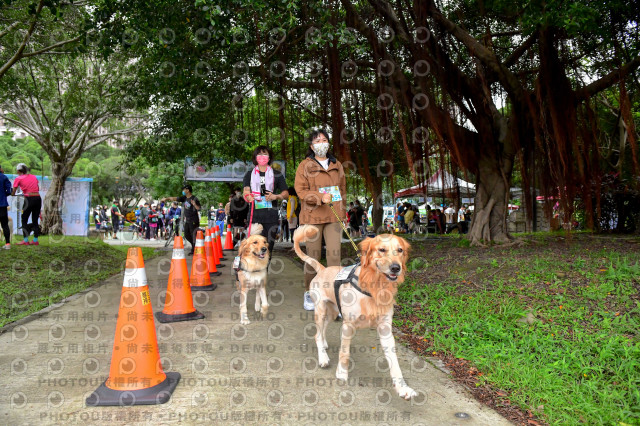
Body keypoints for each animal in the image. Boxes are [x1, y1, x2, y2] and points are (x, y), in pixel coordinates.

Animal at [294, 226, 418, 400]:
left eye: (400, 250)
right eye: (381, 250)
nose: (396, 268)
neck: (374, 287)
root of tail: (323, 269)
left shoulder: (386, 330)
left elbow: (395, 363)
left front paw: (403, 388)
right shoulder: (348, 326)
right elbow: (344, 353)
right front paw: (341, 373)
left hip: (332, 313)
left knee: (322, 331)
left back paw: (323, 345)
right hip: (320, 310)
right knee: (317, 334)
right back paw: (323, 357)